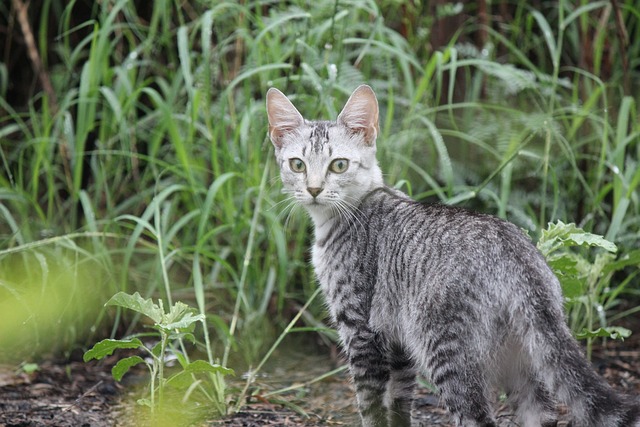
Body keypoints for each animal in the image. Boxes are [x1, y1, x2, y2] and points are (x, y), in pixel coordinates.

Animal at [264, 84, 640, 427]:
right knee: (542, 413)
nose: (313, 189)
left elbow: (370, 406)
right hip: (523, 357)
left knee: (476, 418)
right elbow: (398, 404)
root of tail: (513, 251)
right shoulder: (398, 343)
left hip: (447, 350)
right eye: (297, 165)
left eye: (339, 165)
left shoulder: (360, 329)